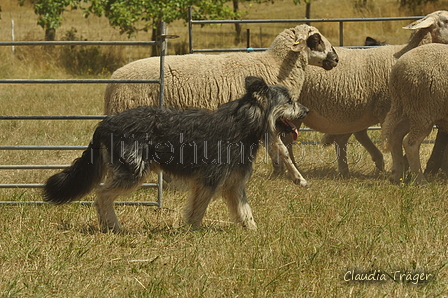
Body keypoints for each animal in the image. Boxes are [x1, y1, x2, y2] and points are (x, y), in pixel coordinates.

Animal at [43, 75, 310, 232]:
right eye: (289, 100)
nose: (306, 111)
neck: (244, 123)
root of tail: (104, 123)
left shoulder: (233, 184)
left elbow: (246, 211)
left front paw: (254, 233)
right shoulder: (208, 180)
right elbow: (198, 208)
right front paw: (192, 231)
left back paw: (107, 225)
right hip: (133, 171)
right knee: (101, 194)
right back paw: (114, 225)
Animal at [103, 24, 338, 186]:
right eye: (315, 39)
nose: (335, 59)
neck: (275, 65)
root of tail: (112, 81)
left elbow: (275, 148)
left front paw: (282, 174)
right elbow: (282, 149)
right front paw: (300, 179)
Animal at [380, 43, 448, 185]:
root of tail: (398, 69)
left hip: (412, 110)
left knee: (396, 133)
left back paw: (397, 174)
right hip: (423, 110)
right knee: (410, 143)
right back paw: (421, 181)